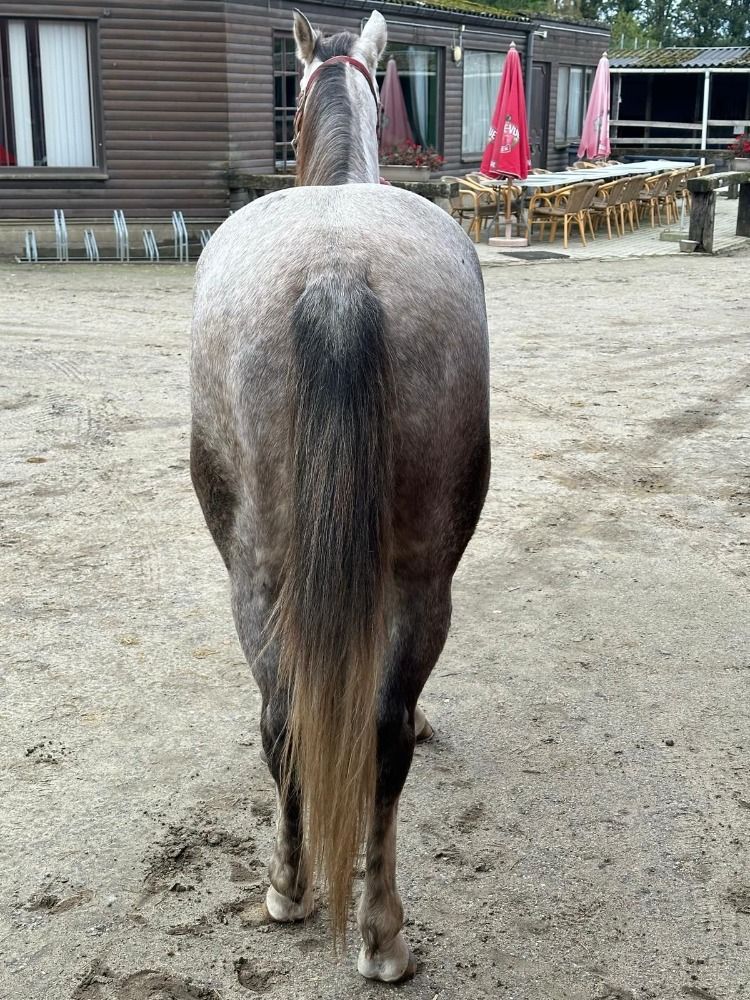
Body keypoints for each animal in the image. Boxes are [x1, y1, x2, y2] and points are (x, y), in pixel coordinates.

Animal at [190, 9, 490, 982]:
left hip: (259, 575)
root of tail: (336, 272)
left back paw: (302, 896)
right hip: (417, 576)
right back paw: (374, 928)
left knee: (290, 722)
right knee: (368, 731)